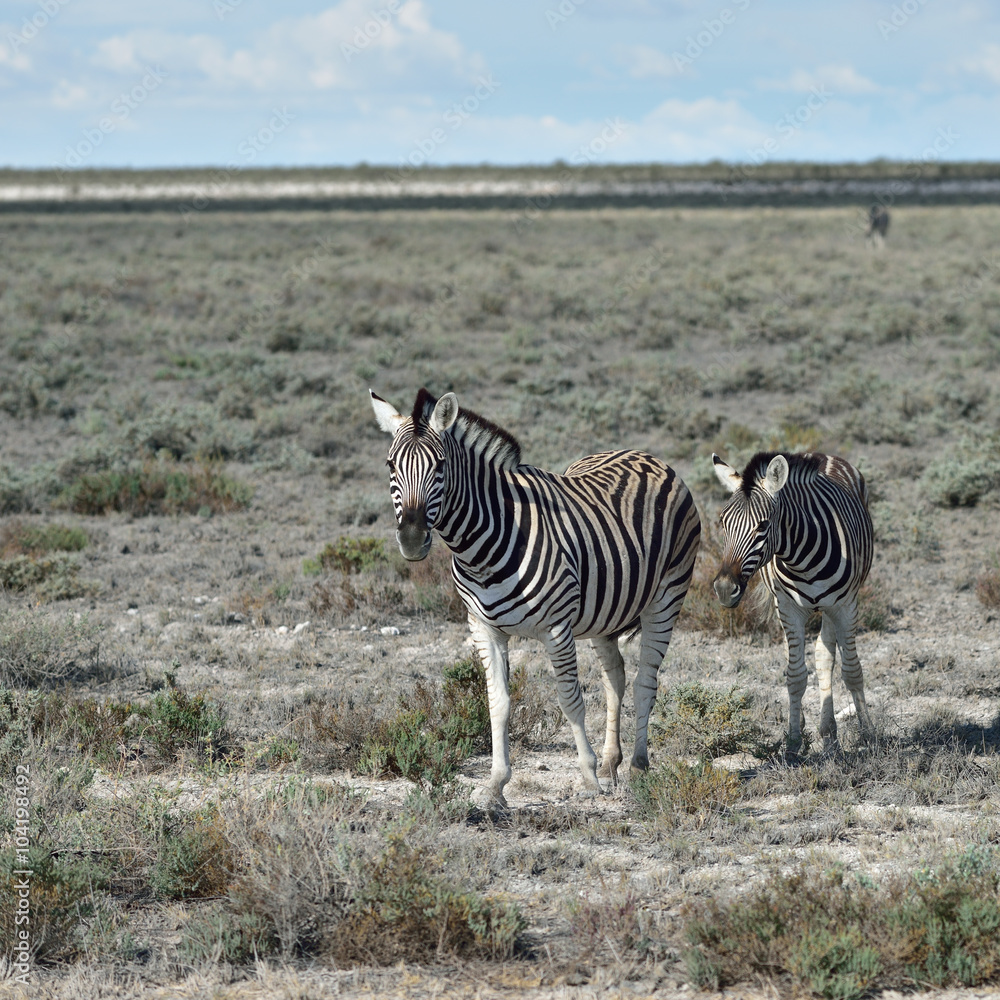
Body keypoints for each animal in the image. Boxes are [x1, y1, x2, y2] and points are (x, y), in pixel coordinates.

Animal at [370, 387, 701, 807]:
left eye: (440, 466)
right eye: (390, 465)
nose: (412, 539)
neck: (481, 549)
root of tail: (647, 455)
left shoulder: (557, 628)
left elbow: (569, 699)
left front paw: (588, 778)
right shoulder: (483, 629)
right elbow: (498, 702)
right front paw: (496, 784)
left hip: (666, 596)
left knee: (646, 682)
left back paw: (638, 767)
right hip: (604, 612)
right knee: (616, 677)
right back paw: (611, 762)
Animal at [711, 451, 874, 757]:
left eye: (763, 525)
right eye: (722, 523)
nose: (725, 589)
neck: (802, 559)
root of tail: (821, 455)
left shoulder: (845, 606)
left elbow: (852, 671)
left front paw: (870, 734)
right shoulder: (788, 608)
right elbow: (796, 676)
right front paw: (794, 742)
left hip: (833, 606)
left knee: (825, 655)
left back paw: (830, 734)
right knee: (813, 656)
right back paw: (822, 732)